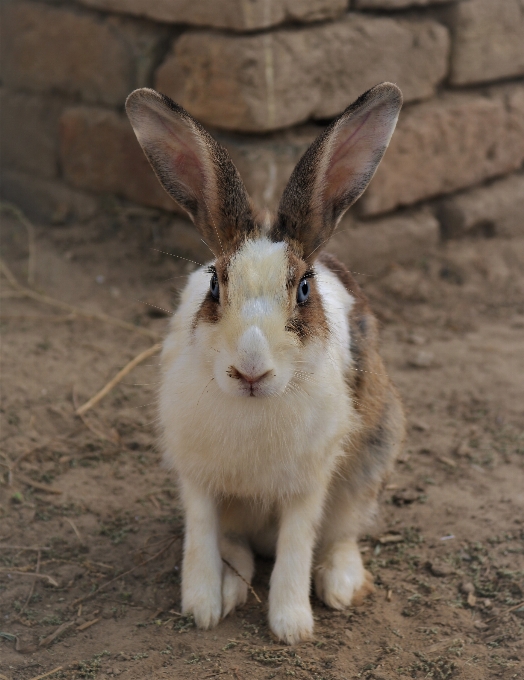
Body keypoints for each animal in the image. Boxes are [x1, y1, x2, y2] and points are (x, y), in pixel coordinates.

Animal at [126, 82, 406, 644]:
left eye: (303, 289)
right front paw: (202, 606)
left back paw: (340, 585)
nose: (250, 371)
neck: (254, 409)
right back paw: (232, 588)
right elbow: (200, 536)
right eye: (215, 285)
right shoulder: (197, 480)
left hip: (370, 464)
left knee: (338, 535)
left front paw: (291, 625)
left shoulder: (307, 485)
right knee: (236, 545)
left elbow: (297, 546)